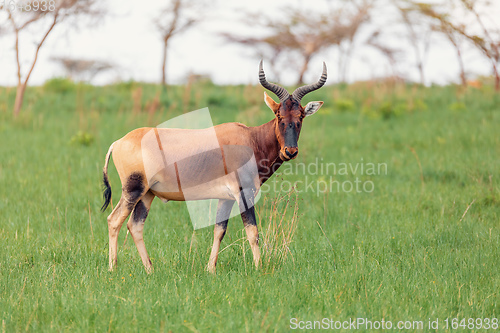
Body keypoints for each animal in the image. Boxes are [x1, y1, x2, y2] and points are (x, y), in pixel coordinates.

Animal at [101, 61, 328, 272]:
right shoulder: (244, 193)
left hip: (148, 194)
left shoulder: (225, 198)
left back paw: (149, 269)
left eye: (300, 116)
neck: (250, 138)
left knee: (135, 225)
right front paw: (259, 268)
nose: (290, 151)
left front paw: (210, 268)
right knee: (114, 220)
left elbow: (219, 230)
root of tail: (118, 142)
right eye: (279, 115)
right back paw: (112, 268)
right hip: (133, 189)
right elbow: (252, 232)